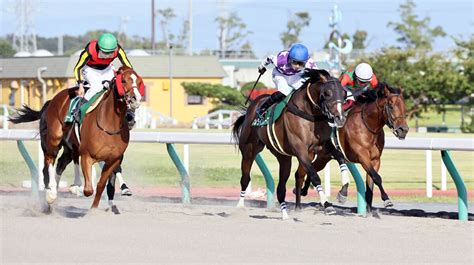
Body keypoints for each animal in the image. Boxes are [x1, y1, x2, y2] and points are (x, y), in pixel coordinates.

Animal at [9, 65, 143, 208]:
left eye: (139, 81)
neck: (109, 124)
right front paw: (76, 188)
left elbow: (109, 177)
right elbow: (89, 186)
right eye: (123, 80)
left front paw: (123, 190)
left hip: (68, 146)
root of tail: (51, 101)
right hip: (53, 140)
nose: (135, 99)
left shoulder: (115, 156)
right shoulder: (87, 154)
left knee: (61, 163)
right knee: (49, 163)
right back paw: (52, 194)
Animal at [232, 68, 346, 219]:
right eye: (327, 93)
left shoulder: (323, 146)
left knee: (282, 187)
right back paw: (239, 206)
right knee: (245, 178)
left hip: (283, 157)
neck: (309, 114)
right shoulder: (300, 150)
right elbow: (315, 176)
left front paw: (343, 192)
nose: (340, 118)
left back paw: (286, 214)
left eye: (344, 94)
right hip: (249, 150)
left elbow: (341, 158)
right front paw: (327, 204)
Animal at [296, 83, 412, 211]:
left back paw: (304, 190)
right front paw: (386, 199)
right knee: (303, 171)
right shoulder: (362, 156)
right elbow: (377, 177)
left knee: (313, 169)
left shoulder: (375, 160)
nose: (403, 130)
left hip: (324, 158)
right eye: (391, 106)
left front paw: (369, 210)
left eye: (404, 107)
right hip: (310, 154)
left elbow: (371, 183)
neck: (367, 127)